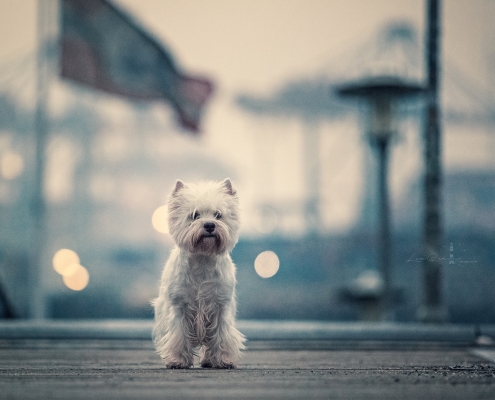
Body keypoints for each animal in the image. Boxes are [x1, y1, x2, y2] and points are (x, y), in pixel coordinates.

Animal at [151, 178, 244, 368]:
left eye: (218, 215)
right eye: (195, 215)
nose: (209, 225)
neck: (203, 259)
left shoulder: (220, 306)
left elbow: (222, 335)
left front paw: (224, 360)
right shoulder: (179, 306)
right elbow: (178, 335)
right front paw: (177, 360)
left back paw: (209, 360)